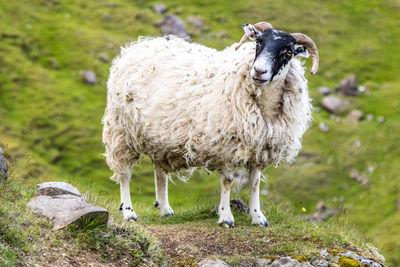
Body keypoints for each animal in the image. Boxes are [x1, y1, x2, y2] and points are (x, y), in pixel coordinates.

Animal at [102, 21, 318, 228]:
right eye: (258, 43)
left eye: (288, 52)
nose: (258, 71)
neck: (265, 105)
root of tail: (137, 46)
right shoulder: (227, 146)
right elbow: (227, 181)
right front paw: (226, 217)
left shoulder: (259, 148)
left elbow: (255, 183)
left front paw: (258, 218)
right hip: (122, 130)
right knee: (125, 174)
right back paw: (129, 212)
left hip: (159, 137)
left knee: (159, 171)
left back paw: (164, 208)